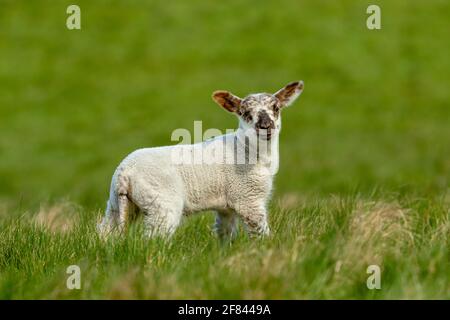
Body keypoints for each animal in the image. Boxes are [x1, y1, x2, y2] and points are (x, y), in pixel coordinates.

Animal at [98, 81, 302, 239]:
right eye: (245, 113)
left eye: (276, 108)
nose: (265, 126)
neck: (247, 150)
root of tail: (124, 173)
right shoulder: (248, 199)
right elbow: (260, 233)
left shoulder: (227, 207)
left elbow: (225, 234)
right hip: (161, 203)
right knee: (152, 239)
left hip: (117, 204)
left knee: (106, 231)